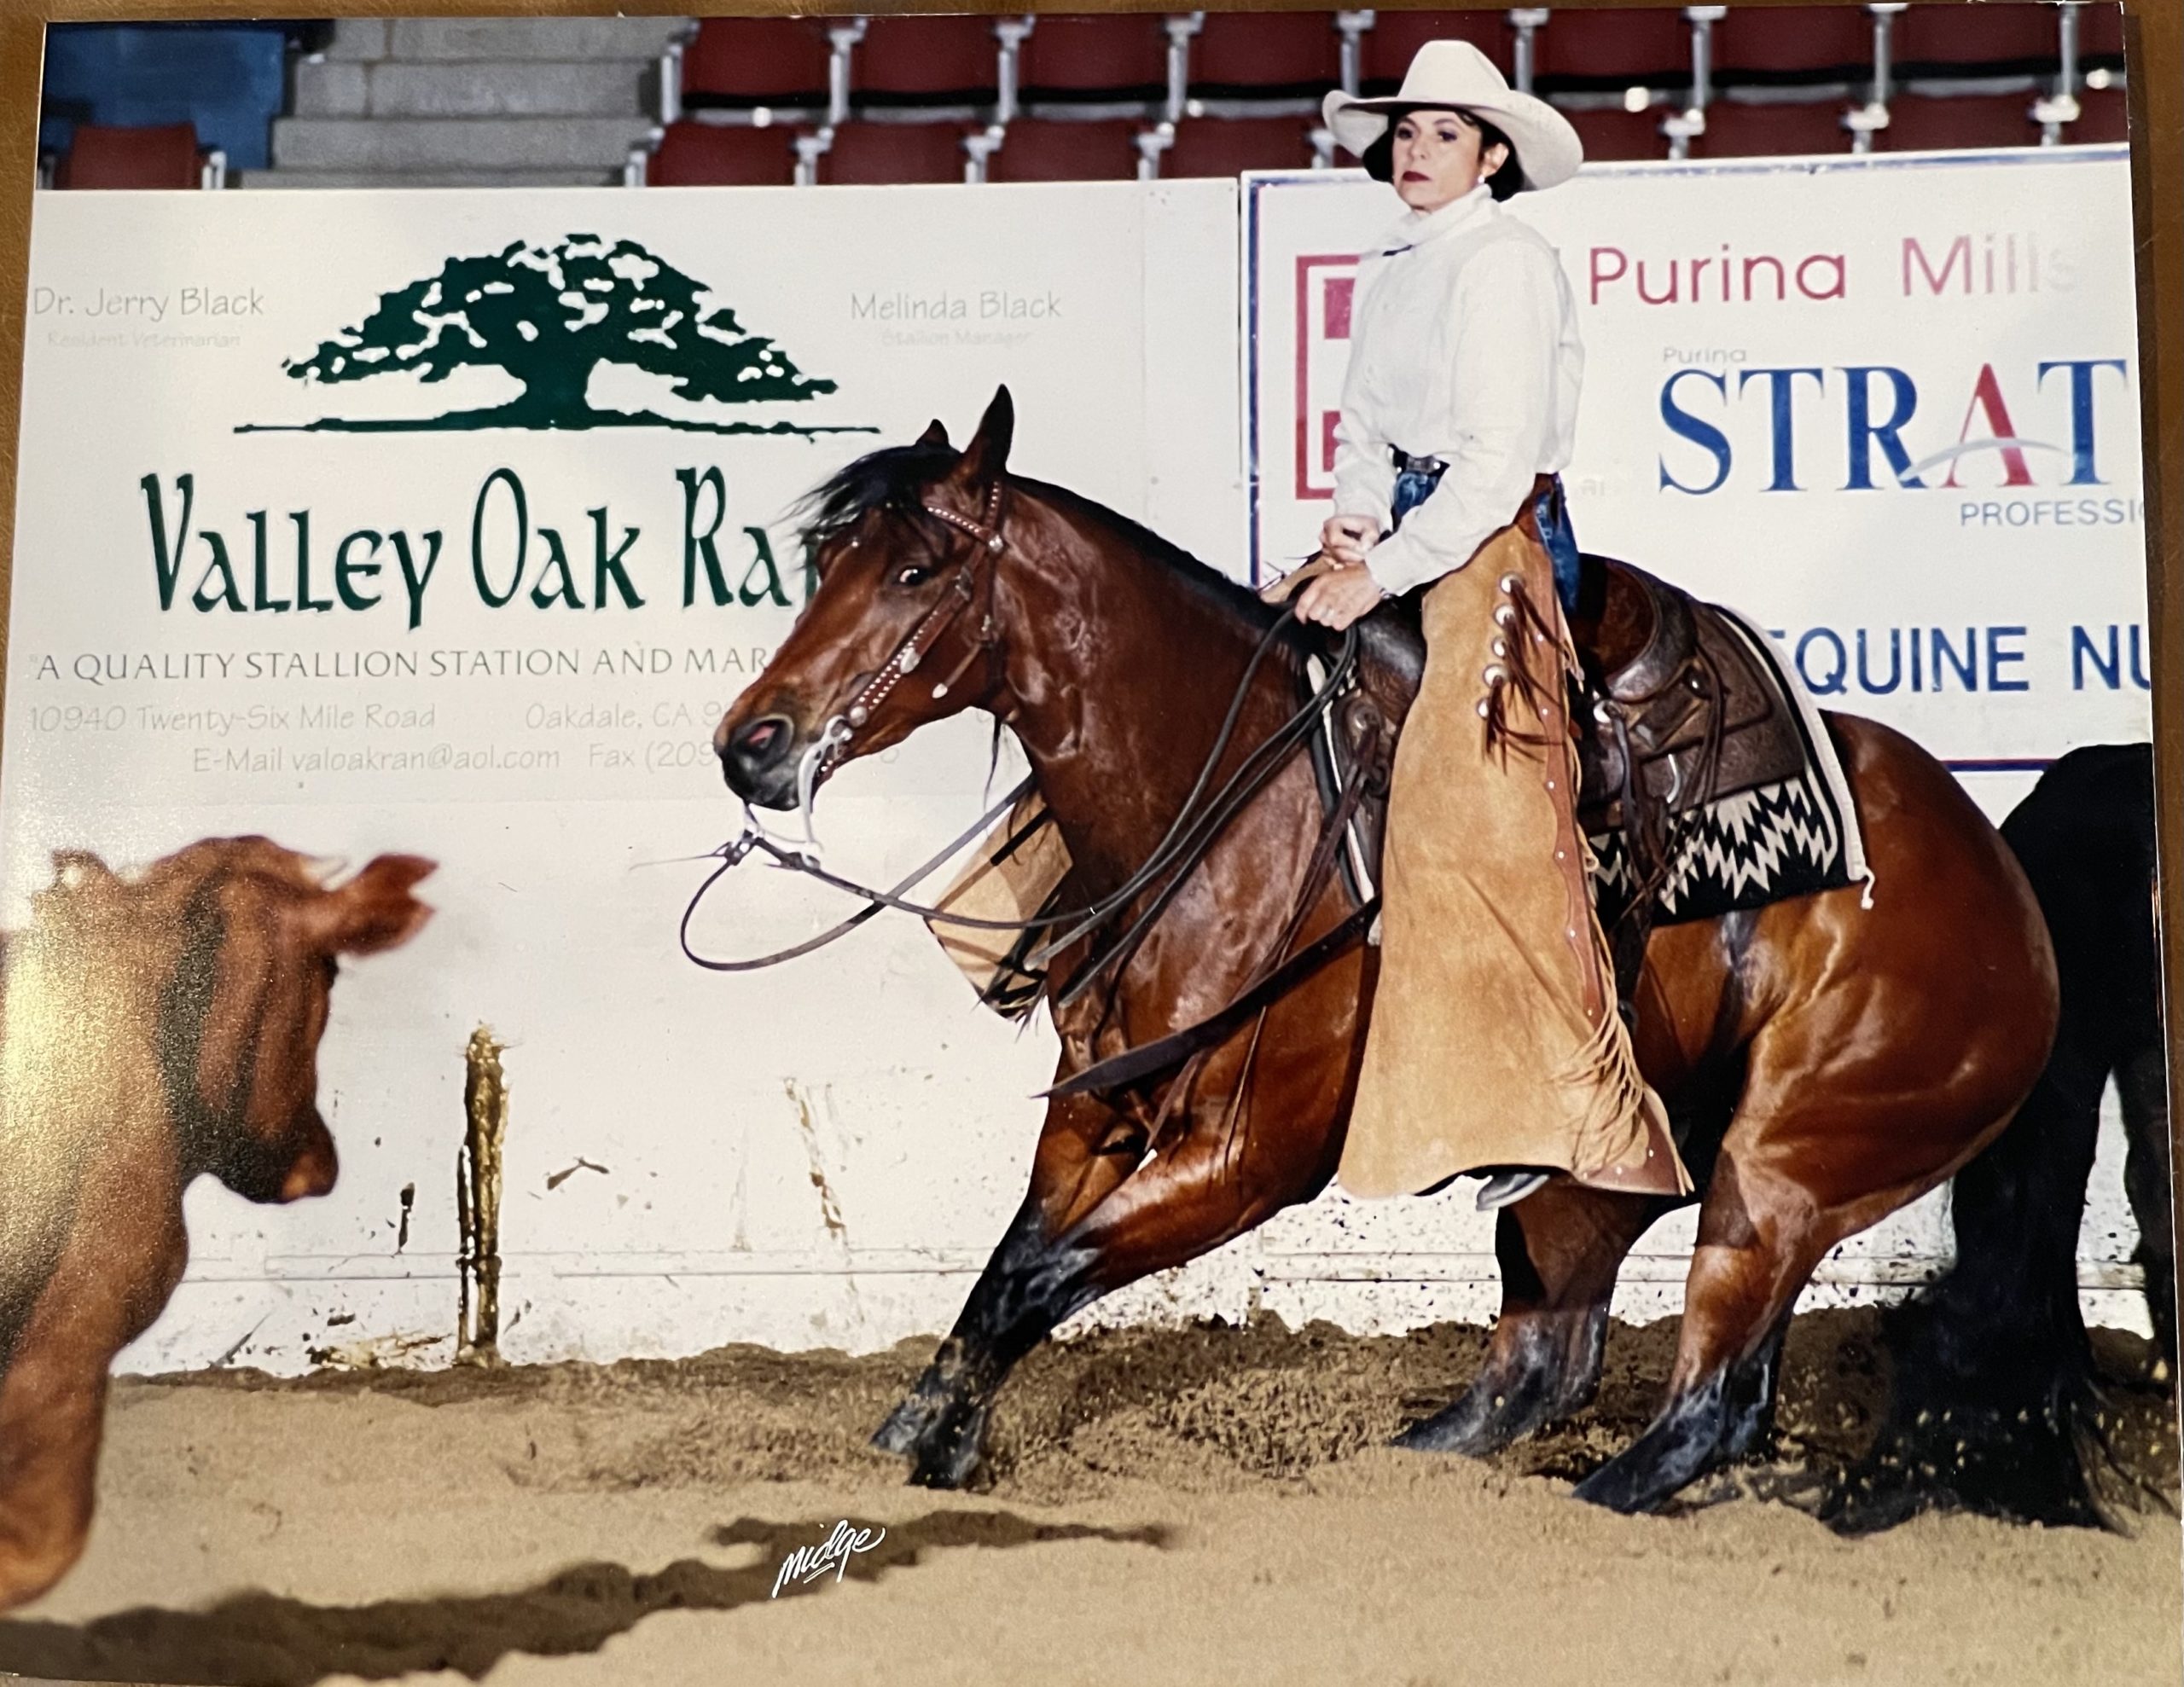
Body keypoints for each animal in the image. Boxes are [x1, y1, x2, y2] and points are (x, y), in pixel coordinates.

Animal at [712, 387, 2059, 1516]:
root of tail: (2006, 892)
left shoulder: (1249, 1160)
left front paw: (923, 1461)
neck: (1237, 805)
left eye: (916, 568)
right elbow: (1003, 1274)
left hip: (1780, 1172)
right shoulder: (1092, 1113)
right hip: (1596, 1170)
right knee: (1547, 1367)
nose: (750, 743)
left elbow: (1037, 1280)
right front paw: (910, 1447)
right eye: (825, 562)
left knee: (1707, 1404)